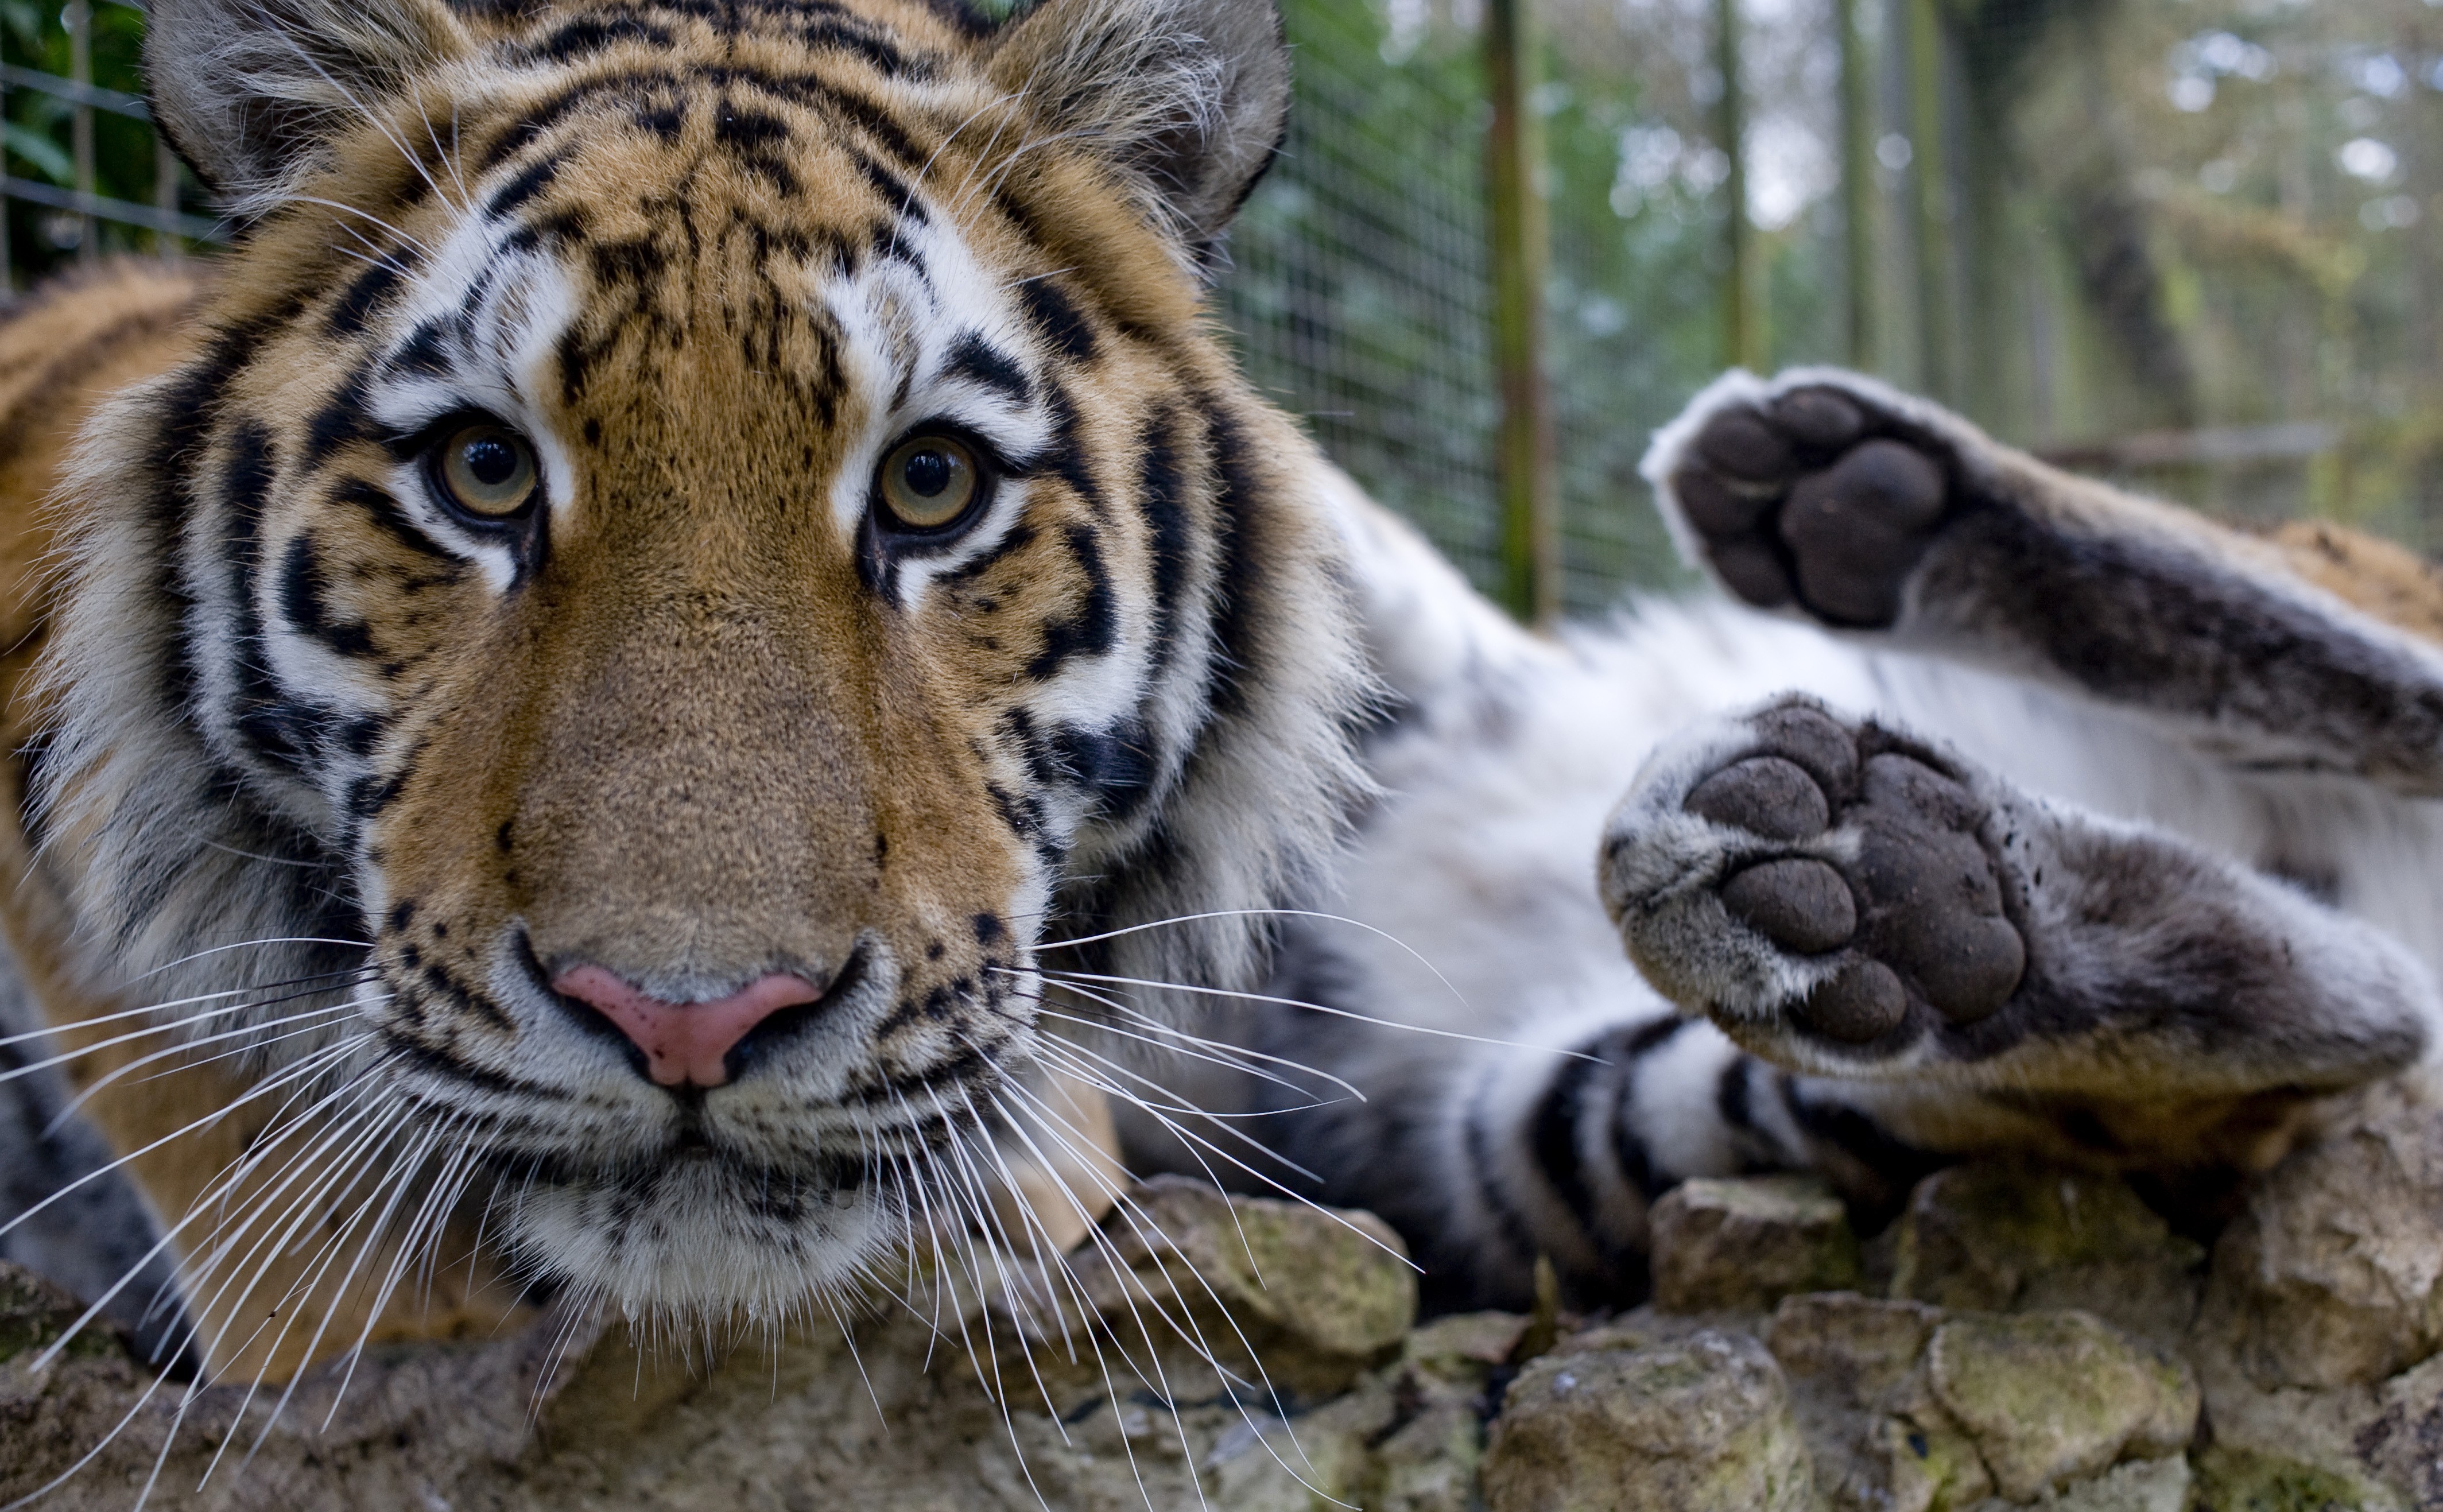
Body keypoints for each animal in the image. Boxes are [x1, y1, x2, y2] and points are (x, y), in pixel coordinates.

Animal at [1, 0, 2440, 1422]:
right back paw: (1887, 853)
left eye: (930, 491)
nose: (695, 1018)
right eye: (480, 483)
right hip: (1607, 1099)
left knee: (2382, 697)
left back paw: (1844, 492)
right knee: (2340, 1000)